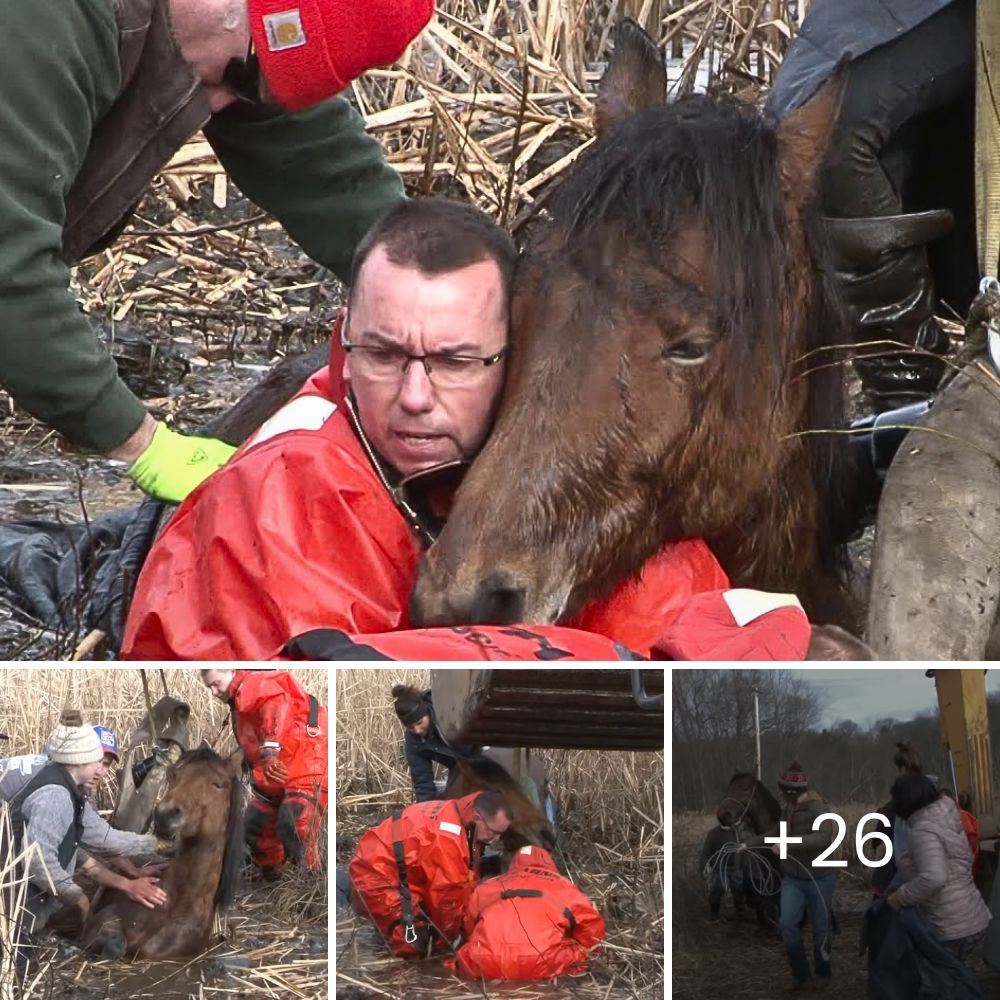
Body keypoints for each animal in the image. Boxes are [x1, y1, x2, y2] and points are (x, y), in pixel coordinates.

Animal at [84, 752, 244, 960]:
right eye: (175, 775)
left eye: (218, 784)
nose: (165, 813)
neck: (174, 906)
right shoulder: (100, 922)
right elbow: (115, 945)